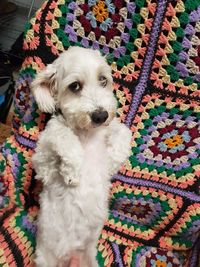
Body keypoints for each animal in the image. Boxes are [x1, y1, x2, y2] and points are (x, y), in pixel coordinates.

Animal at [31, 47, 132, 267]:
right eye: (75, 86)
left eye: (103, 80)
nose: (101, 115)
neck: (86, 134)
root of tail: (68, 258)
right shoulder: (43, 165)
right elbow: (62, 135)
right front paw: (72, 171)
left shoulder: (113, 130)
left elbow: (123, 132)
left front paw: (110, 162)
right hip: (44, 260)